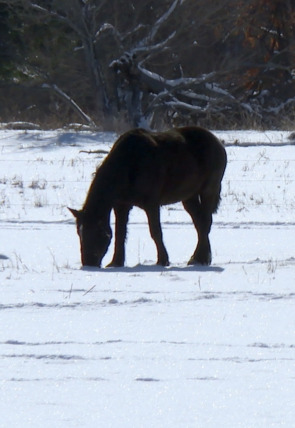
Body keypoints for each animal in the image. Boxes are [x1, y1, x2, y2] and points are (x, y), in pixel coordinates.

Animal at [69, 126, 229, 268]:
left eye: (97, 232)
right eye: (79, 233)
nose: (88, 263)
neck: (128, 165)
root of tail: (218, 142)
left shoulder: (151, 204)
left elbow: (155, 232)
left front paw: (163, 260)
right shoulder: (121, 206)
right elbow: (120, 233)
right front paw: (116, 262)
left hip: (208, 190)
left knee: (205, 222)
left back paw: (202, 258)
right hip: (189, 196)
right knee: (199, 223)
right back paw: (197, 258)